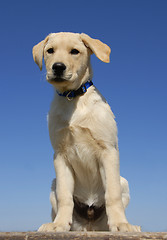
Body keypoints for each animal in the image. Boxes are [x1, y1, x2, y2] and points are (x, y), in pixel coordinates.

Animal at [32, 32, 141, 232]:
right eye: (50, 51)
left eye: (75, 51)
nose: (57, 67)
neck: (72, 98)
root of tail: (89, 226)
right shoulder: (60, 155)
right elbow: (64, 196)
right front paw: (59, 224)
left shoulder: (108, 150)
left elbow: (112, 194)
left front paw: (121, 224)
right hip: (53, 184)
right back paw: (55, 223)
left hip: (123, 181)